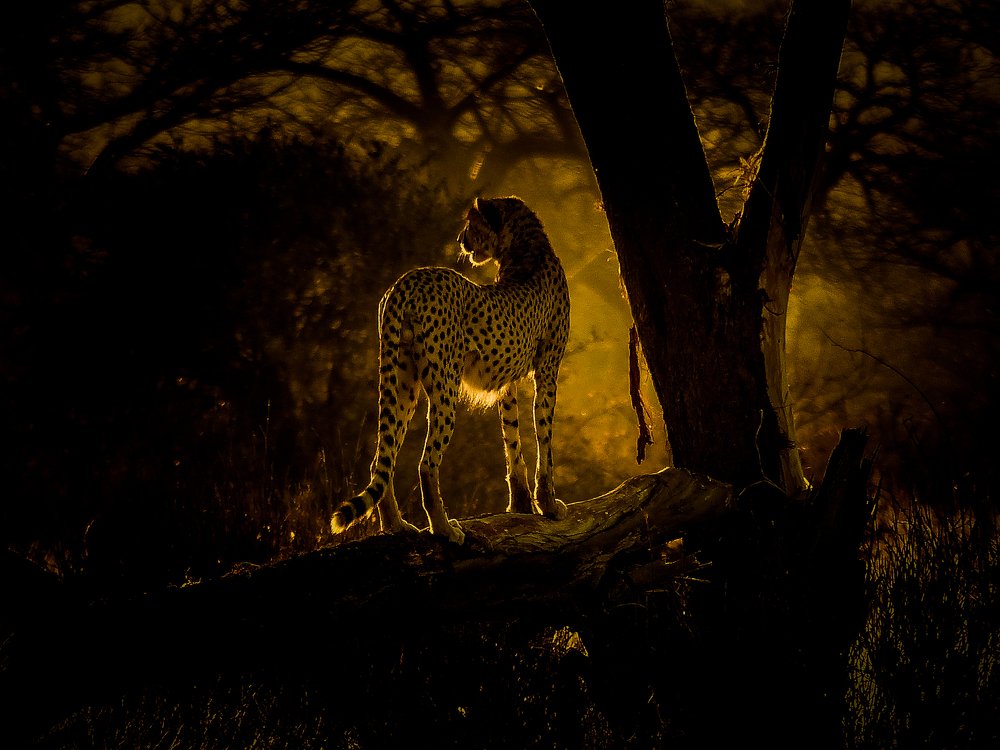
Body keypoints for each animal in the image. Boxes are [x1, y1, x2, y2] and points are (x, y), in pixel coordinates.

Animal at [331, 196, 571, 545]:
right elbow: (545, 440)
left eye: (472, 224)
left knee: (382, 459)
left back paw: (396, 525)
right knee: (426, 464)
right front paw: (549, 505)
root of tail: (408, 280)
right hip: (444, 389)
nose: (460, 240)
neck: (527, 247)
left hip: (402, 384)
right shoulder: (548, 369)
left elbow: (512, 439)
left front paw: (521, 504)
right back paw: (444, 529)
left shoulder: (508, 382)